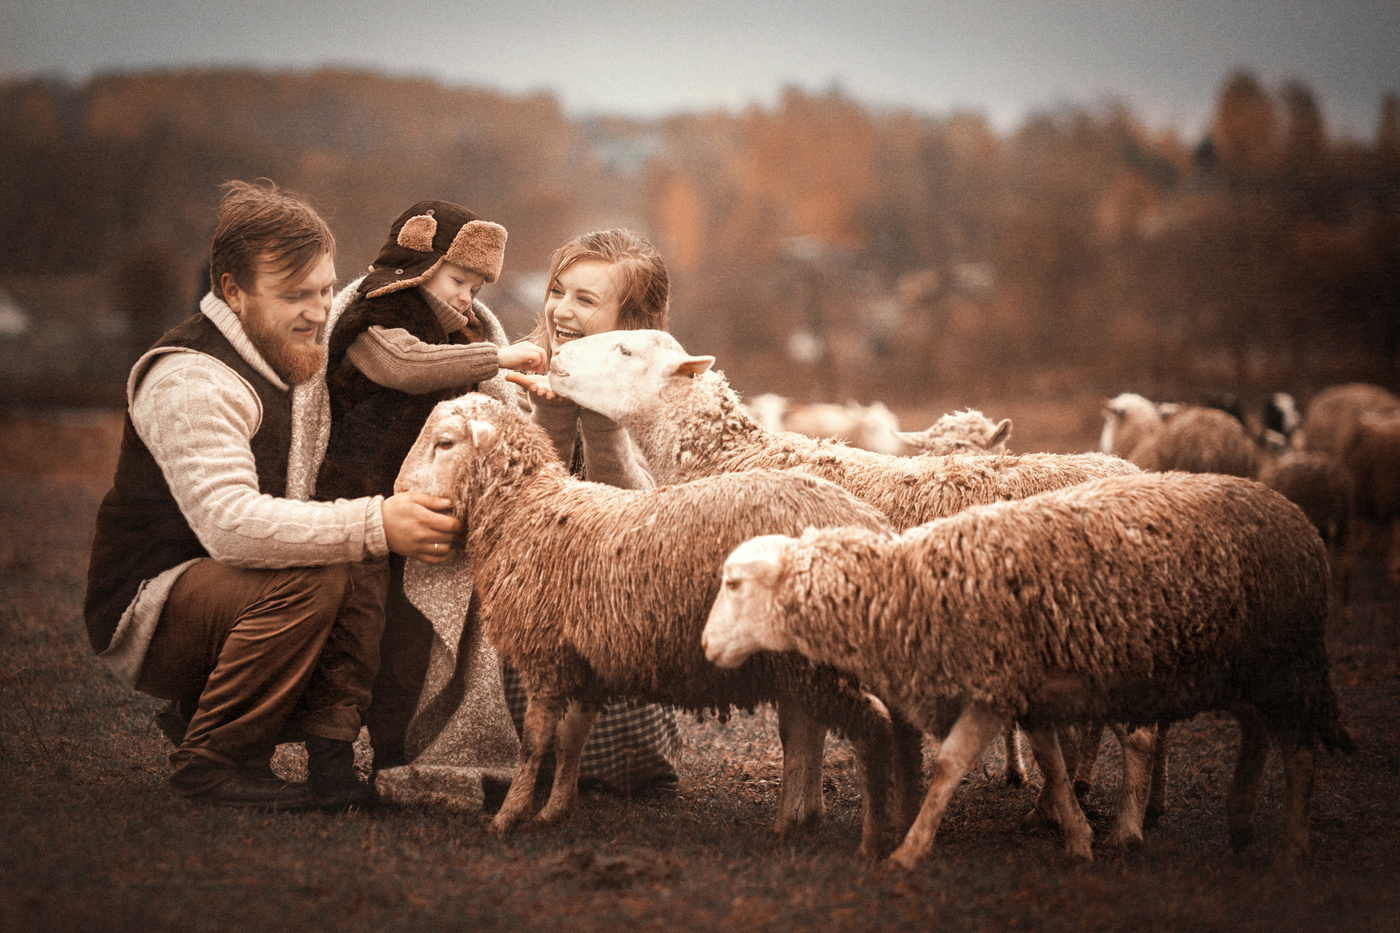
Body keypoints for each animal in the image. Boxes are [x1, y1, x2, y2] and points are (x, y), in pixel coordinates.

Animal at [392, 389, 907, 851]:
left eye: (444, 443)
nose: (398, 493)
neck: (525, 511)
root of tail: (870, 526)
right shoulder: (588, 664)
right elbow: (571, 740)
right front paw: (555, 810)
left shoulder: (546, 656)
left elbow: (535, 744)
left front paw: (509, 816)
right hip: (802, 662)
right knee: (817, 733)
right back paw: (797, 823)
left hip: (815, 659)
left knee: (872, 731)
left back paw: (873, 838)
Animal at [705, 467, 1349, 868]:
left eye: (734, 583)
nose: (707, 646)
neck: (907, 586)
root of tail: (1299, 522)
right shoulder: (1026, 690)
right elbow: (1054, 767)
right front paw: (1078, 840)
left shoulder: (993, 689)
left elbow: (949, 766)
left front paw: (908, 852)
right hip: (1235, 666)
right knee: (1251, 730)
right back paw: (1233, 824)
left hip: (1282, 664)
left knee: (1299, 751)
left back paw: (1286, 848)